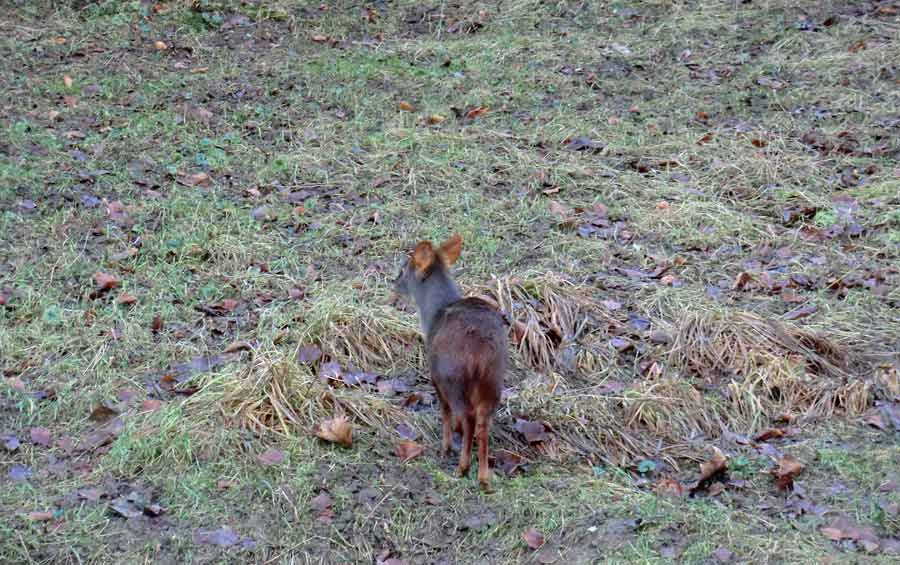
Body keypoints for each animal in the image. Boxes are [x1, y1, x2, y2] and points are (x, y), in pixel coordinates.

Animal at [394, 234, 506, 490]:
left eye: (403, 269)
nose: (393, 283)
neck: (433, 314)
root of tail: (481, 350)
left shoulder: (435, 374)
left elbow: (444, 411)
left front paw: (446, 446)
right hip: (493, 380)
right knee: (483, 423)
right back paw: (484, 477)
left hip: (451, 374)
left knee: (468, 417)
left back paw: (462, 467)